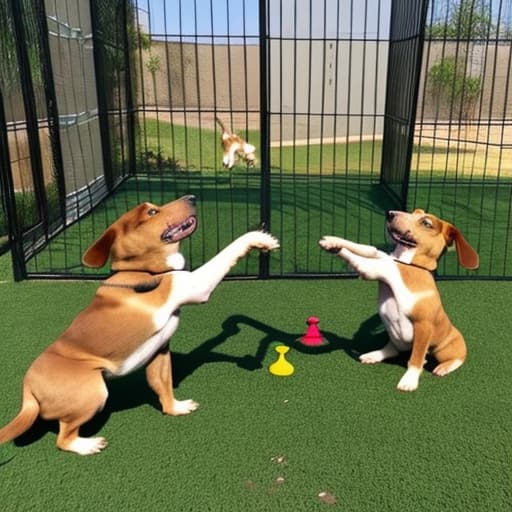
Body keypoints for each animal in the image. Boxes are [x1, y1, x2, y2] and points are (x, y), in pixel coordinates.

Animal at [0, 195, 280, 452]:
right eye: (152, 211)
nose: (191, 197)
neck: (144, 271)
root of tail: (27, 391)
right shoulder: (194, 284)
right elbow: (226, 252)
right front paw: (259, 238)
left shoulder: (160, 353)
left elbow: (164, 387)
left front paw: (176, 408)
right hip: (94, 389)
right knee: (63, 438)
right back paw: (88, 445)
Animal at [320, 208, 480, 392]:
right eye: (414, 212)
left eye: (427, 223)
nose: (390, 213)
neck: (407, 263)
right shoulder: (382, 256)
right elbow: (367, 248)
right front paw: (333, 242)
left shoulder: (422, 326)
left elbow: (415, 359)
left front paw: (409, 380)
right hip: (396, 339)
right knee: (393, 349)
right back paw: (375, 355)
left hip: (444, 350)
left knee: (455, 359)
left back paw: (444, 367)